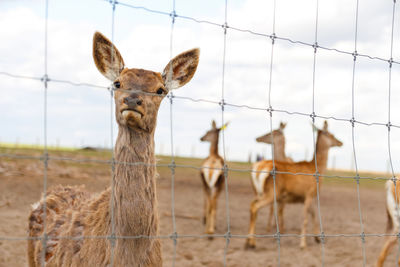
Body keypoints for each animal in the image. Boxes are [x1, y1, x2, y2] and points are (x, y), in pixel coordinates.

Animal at [245, 120, 342, 250]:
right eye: (332, 135)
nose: (340, 142)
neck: (317, 170)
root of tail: (259, 167)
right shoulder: (310, 193)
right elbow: (305, 218)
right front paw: (303, 244)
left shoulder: (306, 197)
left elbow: (314, 214)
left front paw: (317, 238)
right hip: (272, 192)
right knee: (255, 207)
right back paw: (252, 243)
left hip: (259, 192)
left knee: (252, 205)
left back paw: (248, 241)